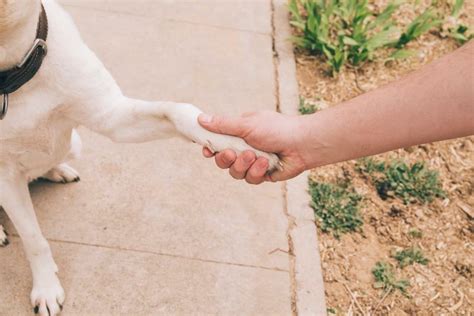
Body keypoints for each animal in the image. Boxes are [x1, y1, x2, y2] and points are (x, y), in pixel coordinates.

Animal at [0, 1, 280, 314]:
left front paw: (243, 145)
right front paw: (46, 288)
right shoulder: (6, 178)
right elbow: (34, 239)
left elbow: (177, 110)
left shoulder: (113, 117)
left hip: (74, 143)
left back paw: (56, 169)